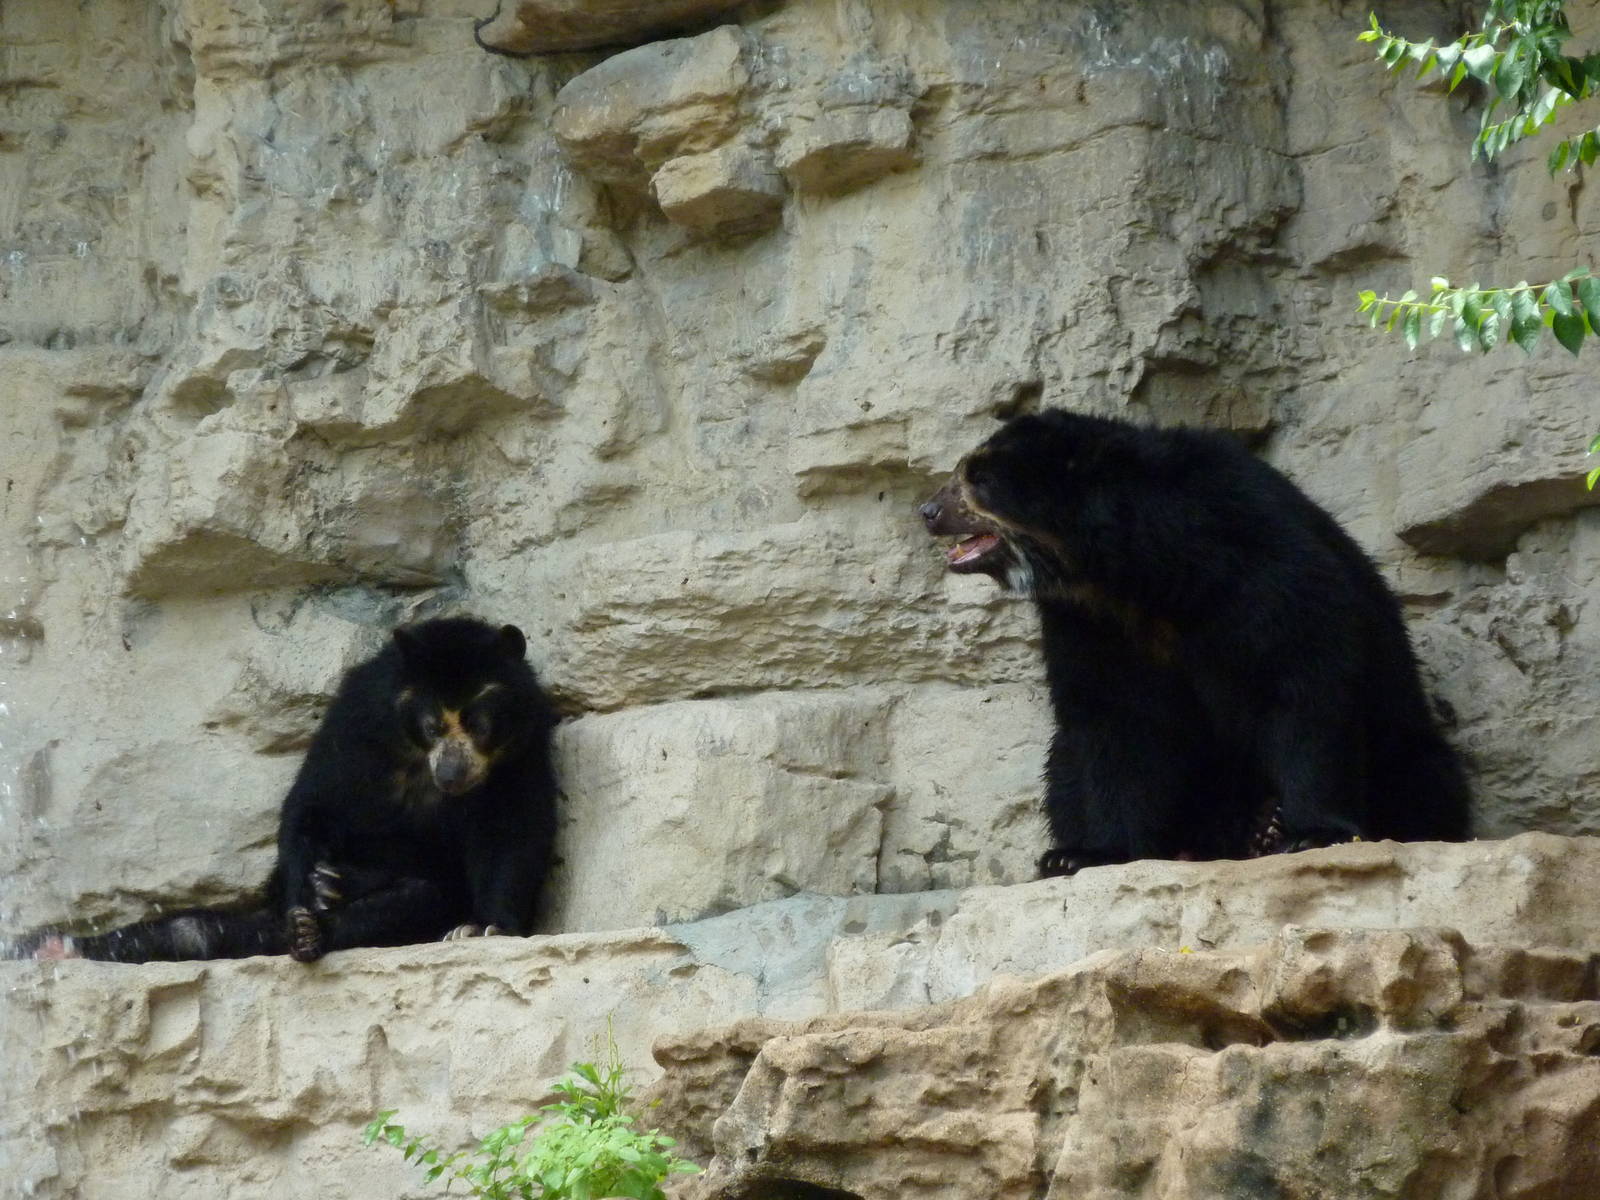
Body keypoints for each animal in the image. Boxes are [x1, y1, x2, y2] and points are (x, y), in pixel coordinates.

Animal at [13, 617, 558, 963]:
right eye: (430, 725)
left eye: (480, 723)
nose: (452, 775)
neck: (415, 760)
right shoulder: (358, 722)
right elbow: (312, 802)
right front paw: (311, 892)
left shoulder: (523, 751)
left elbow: (512, 834)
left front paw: (483, 926)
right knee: (189, 930)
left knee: (414, 899)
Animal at [920, 409, 1471, 876]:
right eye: (963, 472)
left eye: (979, 479)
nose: (927, 510)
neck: (1131, 573)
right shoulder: (1087, 622)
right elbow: (1113, 720)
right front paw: (1091, 853)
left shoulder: (1257, 557)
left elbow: (1306, 677)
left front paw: (1313, 833)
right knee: (1064, 770)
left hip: (1403, 746)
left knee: (1423, 778)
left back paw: (1267, 828)